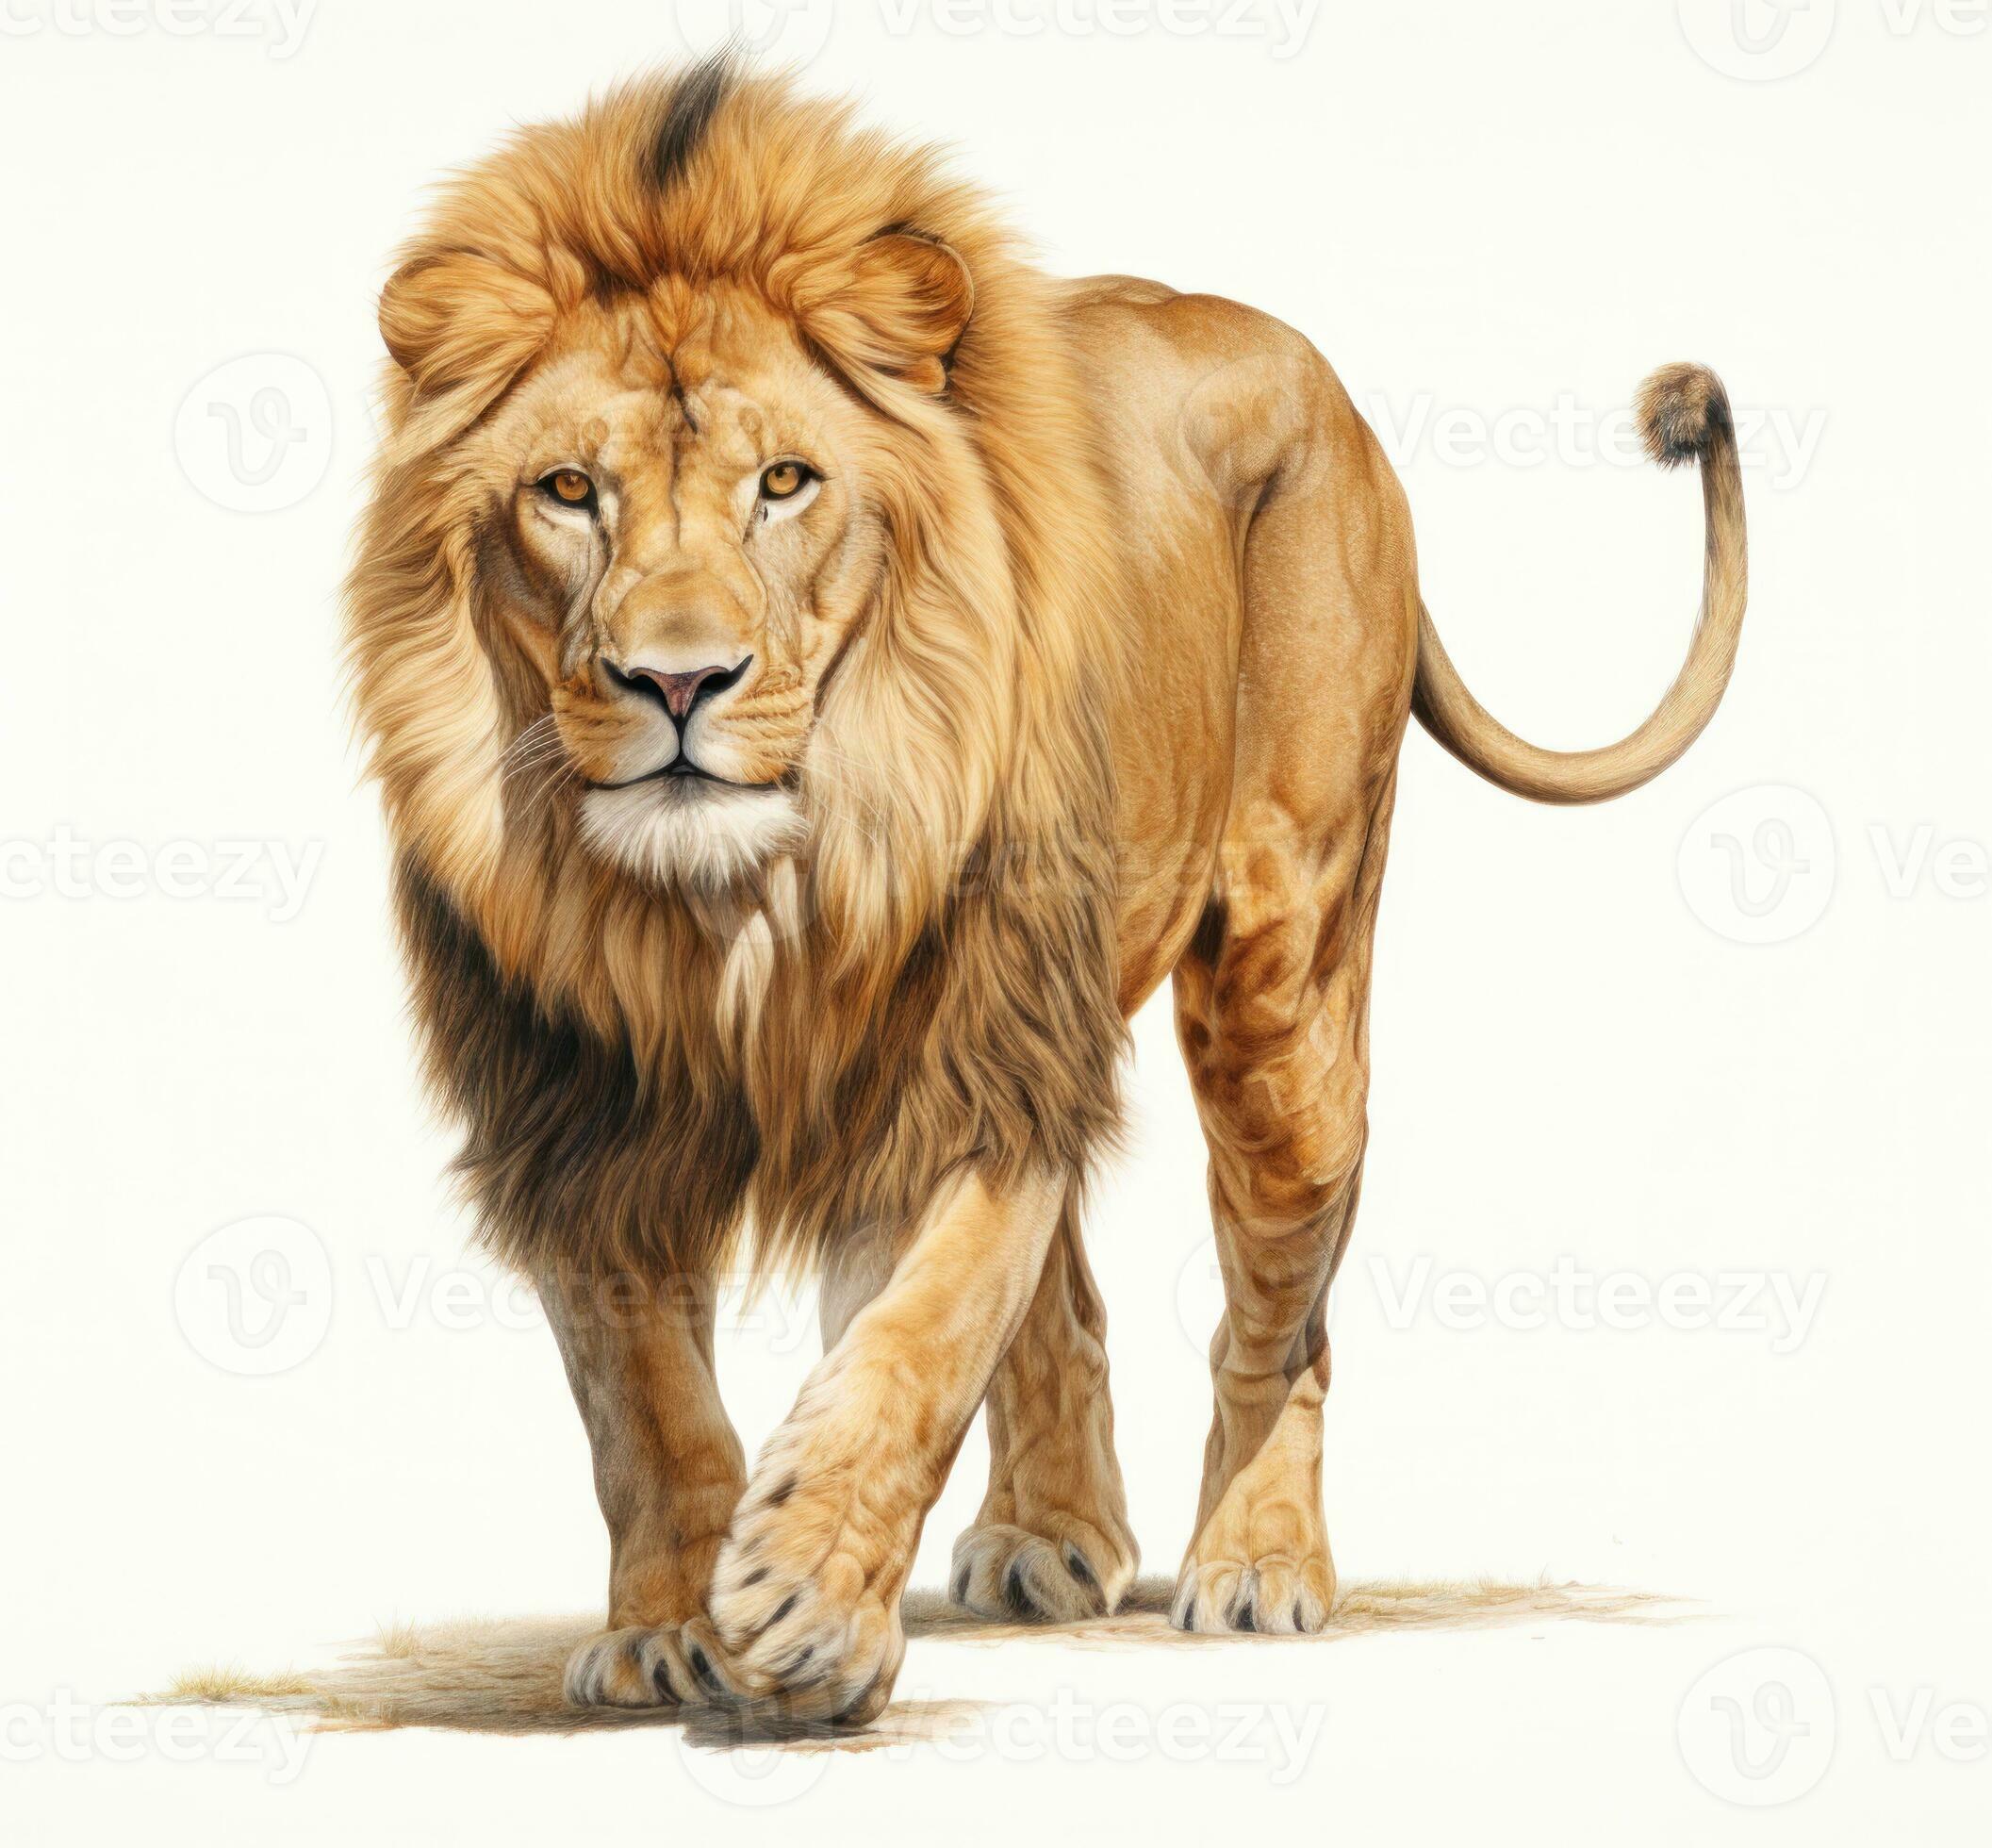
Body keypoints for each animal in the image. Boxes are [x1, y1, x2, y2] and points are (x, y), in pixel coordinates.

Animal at [345, 55, 1747, 1726]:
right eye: (568, 492)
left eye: (783, 484)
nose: (676, 682)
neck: (741, 905)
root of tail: (1327, 388)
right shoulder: (571, 1110)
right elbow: (644, 1405)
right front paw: (670, 1628)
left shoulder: (970, 1058)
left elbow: (919, 1336)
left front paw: (807, 1602)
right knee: (1070, 1296)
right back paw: (1046, 1542)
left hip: (1280, 986)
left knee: (1286, 1303)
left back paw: (1257, 1563)